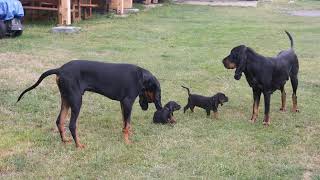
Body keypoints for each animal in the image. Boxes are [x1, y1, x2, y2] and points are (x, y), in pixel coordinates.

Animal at [16, 60, 162, 148]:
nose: (158, 106)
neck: (141, 76)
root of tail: (60, 70)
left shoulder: (123, 104)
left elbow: (126, 122)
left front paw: (128, 134)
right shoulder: (127, 102)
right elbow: (126, 124)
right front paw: (127, 142)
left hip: (66, 99)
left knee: (59, 121)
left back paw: (65, 141)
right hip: (76, 100)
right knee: (72, 125)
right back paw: (79, 146)